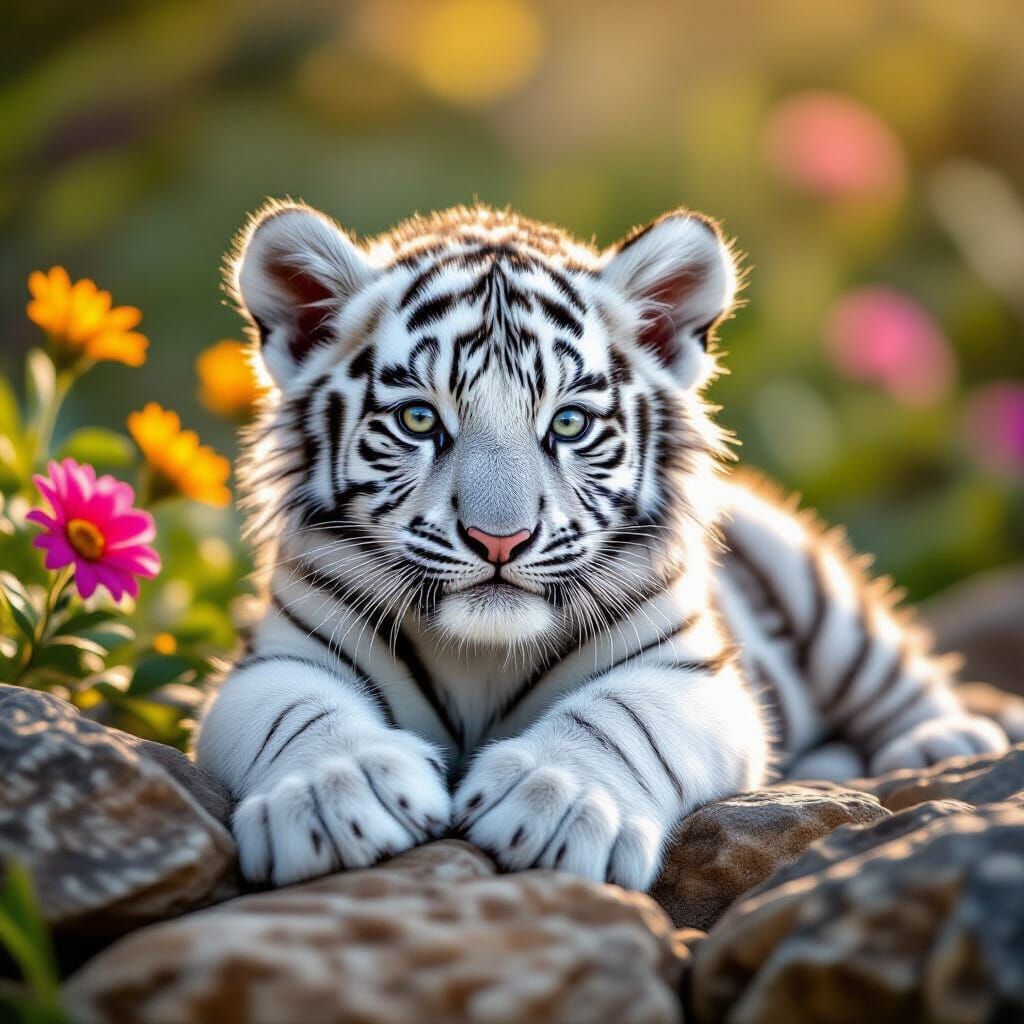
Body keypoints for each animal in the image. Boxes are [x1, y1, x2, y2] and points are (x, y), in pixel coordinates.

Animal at [195, 200, 1008, 891]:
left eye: (569, 424)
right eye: (419, 420)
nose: (499, 539)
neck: (480, 655)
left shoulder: (690, 672)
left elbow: (621, 717)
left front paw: (554, 801)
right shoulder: (274, 659)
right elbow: (300, 710)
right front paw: (335, 795)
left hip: (815, 584)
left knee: (895, 677)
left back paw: (945, 742)